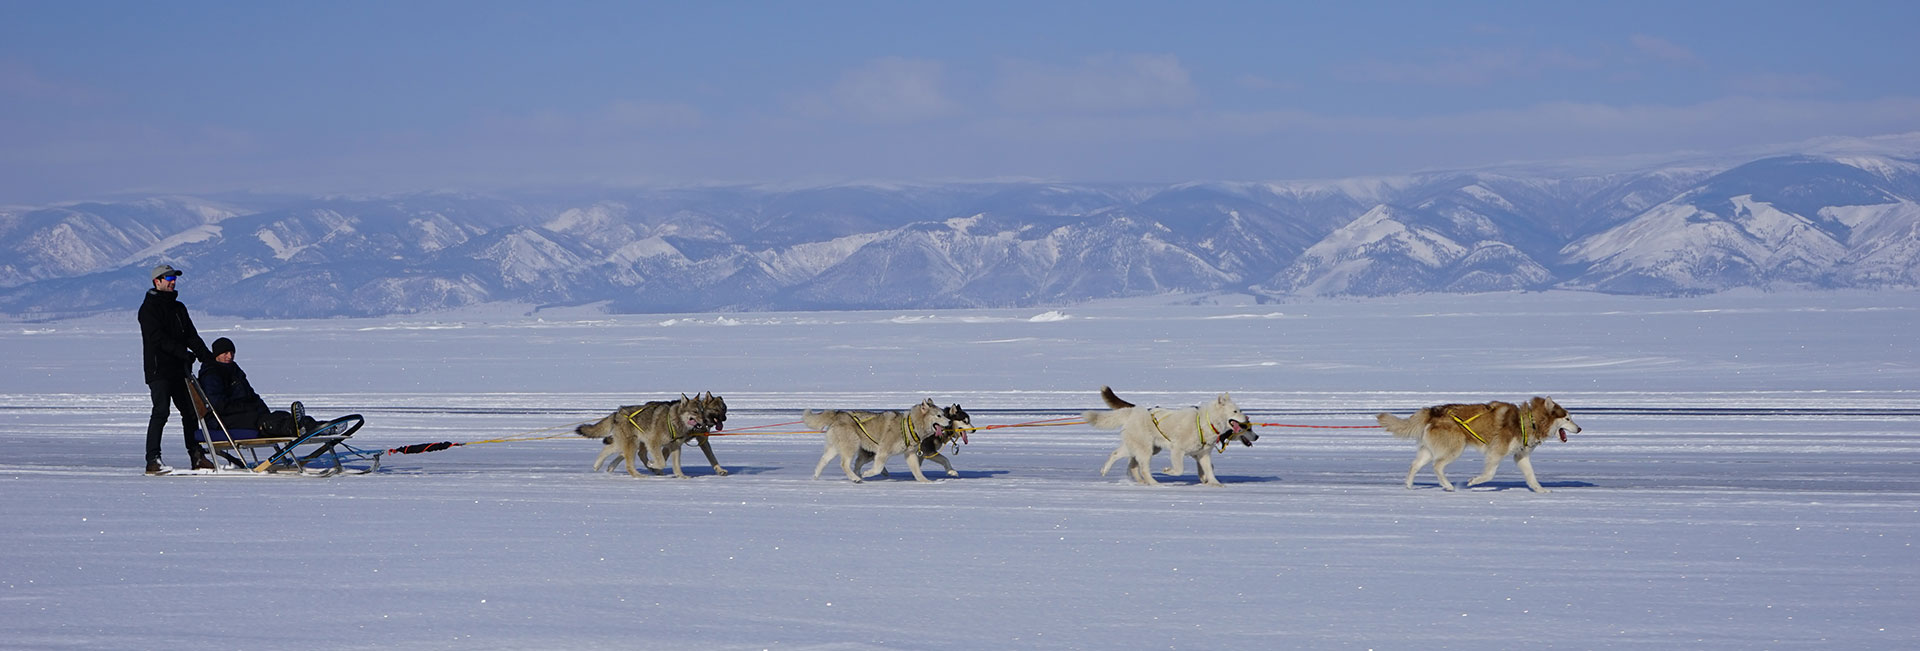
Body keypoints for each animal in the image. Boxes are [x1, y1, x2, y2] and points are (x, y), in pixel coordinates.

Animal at [579, 395, 718, 482]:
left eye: (702, 411)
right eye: (695, 412)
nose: (705, 421)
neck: (673, 421)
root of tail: (617, 412)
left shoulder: (675, 447)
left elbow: (677, 465)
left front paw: (681, 476)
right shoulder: (653, 443)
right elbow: (661, 462)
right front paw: (652, 464)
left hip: (625, 443)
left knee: (608, 448)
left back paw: (597, 466)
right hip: (632, 444)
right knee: (628, 465)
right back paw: (638, 475)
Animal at [802, 397, 967, 483]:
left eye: (943, 414)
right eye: (938, 416)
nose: (949, 422)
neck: (911, 425)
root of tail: (838, 414)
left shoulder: (910, 454)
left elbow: (916, 469)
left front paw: (925, 481)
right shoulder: (883, 451)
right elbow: (878, 467)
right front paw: (868, 473)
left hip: (835, 448)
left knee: (823, 460)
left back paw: (816, 477)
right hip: (852, 446)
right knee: (844, 464)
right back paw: (856, 478)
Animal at [1098, 387, 1259, 483]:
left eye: (1240, 410)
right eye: (1235, 412)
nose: (1257, 436)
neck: (1206, 422)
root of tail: (1135, 411)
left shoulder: (1203, 454)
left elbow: (1209, 469)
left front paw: (1214, 484)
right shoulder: (1177, 450)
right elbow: (1179, 469)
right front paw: (1168, 471)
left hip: (1146, 448)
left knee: (1121, 457)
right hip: (1146, 449)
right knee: (1142, 467)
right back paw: (1154, 483)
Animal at [1382, 397, 1589, 495]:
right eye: (1567, 418)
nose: (1580, 428)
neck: (1529, 421)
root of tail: (1432, 411)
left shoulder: (1520, 455)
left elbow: (1531, 476)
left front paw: (1541, 490)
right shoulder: (1496, 452)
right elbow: (1489, 474)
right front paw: (1473, 481)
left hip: (1429, 450)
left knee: (1414, 465)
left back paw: (1409, 485)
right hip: (1455, 448)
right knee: (1437, 465)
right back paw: (1448, 485)